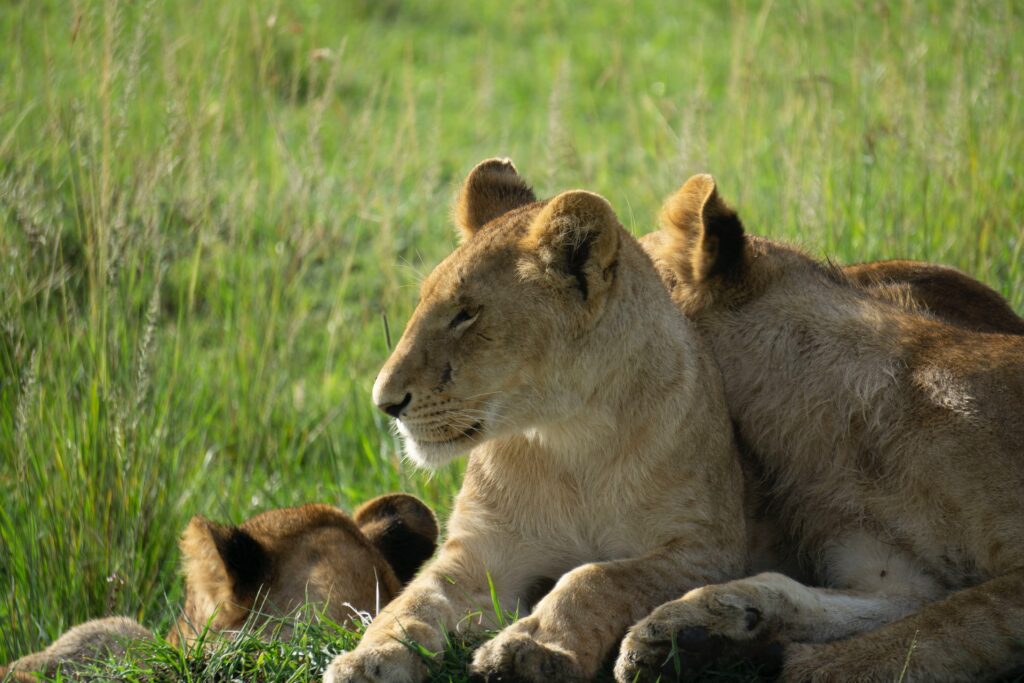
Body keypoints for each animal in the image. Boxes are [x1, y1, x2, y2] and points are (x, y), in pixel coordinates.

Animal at [323, 158, 749, 683]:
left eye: (466, 314)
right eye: (424, 302)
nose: (384, 402)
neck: (569, 440)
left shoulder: (710, 552)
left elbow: (597, 576)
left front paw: (530, 649)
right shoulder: (482, 552)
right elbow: (413, 602)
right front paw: (370, 658)